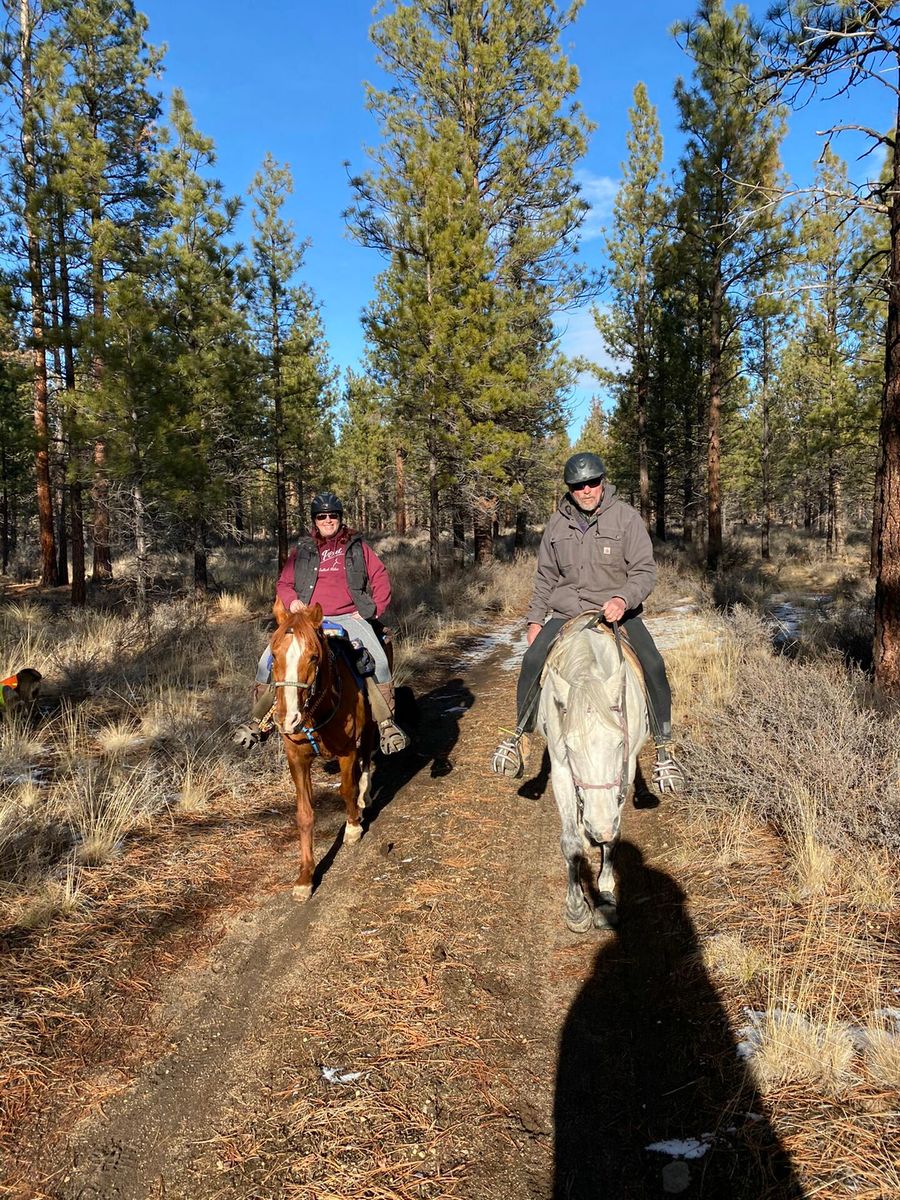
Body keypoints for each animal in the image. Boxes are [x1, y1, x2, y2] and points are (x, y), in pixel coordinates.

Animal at [268, 598, 377, 900]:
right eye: (274, 656)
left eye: (314, 657)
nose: (288, 719)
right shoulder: (297, 759)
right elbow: (304, 814)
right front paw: (305, 877)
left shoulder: (347, 750)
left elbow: (347, 789)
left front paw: (352, 828)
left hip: (370, 726)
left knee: (367, 758)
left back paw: (365, 796)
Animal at [537, 613, 649, 933]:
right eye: (569, 746)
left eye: (620, 742)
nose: (599, 825)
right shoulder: (562, 769)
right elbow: (571, 843)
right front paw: (576, 909)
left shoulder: (626, 768)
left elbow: (613, 838)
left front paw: (607, 896)